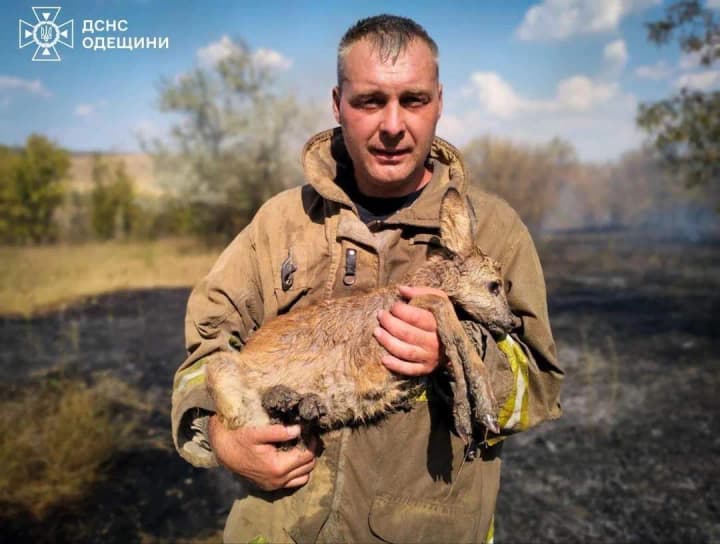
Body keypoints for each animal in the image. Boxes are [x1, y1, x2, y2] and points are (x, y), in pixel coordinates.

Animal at [205, 188, 520, 450]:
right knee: (241, 419)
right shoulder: (407, 308)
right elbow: (447, 314)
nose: (513, 322)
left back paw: (296, 404)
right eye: (494, 285)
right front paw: (477, 411)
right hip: (222, 370)